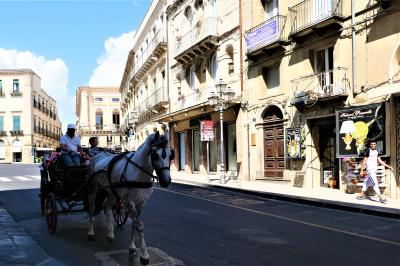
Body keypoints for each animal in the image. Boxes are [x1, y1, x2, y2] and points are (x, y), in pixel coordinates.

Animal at [86, 132, 173, 264]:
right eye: (155, 155)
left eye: (170, 155)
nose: (166, 181)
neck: (138, 173)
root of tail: (98, 155)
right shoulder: (129, 202)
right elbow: (139, 226)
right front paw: (144, 255)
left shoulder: (141, 203)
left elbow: (134, 224)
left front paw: (132, 247)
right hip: (94, 188)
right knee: (91, 206)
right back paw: (91, 233)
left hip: (112, 192)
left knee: (106, 207)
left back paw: (110, 234)